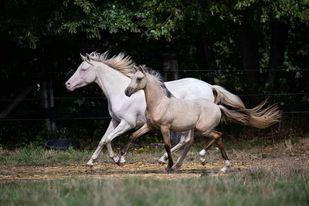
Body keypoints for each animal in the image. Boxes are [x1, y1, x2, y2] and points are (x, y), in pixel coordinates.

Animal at [65, 51, 245, 166]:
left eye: (83, 69)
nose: (67, 84)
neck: (120, 91)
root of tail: (209, 87)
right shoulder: (115, 121)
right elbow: (103, 139)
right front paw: (91, 162)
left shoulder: (127, 123)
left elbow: (109, 139)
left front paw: (116, 159)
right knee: (187, 141)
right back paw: (171, 161)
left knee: (187, 140)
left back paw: (168, 160)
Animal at [124, 66, 280, 172]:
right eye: (131, 78)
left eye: (139, 78)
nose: (127, 92)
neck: (160, 103)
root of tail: (218, 107)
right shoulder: (150, 125)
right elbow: (133, 135)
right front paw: (121, 160)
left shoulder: (165, 127)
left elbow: (167, 145)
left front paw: (168, 166)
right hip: (198, 129)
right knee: (214, 139)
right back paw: (224, 167)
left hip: (202, 128)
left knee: (217, 136)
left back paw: (202, 158)